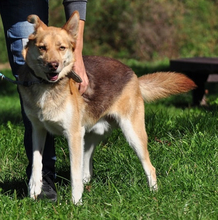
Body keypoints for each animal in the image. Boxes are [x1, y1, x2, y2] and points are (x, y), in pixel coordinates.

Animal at [18, 11, 196, 205]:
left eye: (62, 48)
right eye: (42, 48)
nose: (53, 65)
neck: (47, 87)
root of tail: (133, 75)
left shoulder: (73, 134)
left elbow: (74, 174)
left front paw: (75, 204)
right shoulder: (38, 130)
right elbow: (37, 162)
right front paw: (34, 188)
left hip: (133, 134)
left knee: (150, 167)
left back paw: (153, 193)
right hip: (90, 135)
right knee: (87, 169)